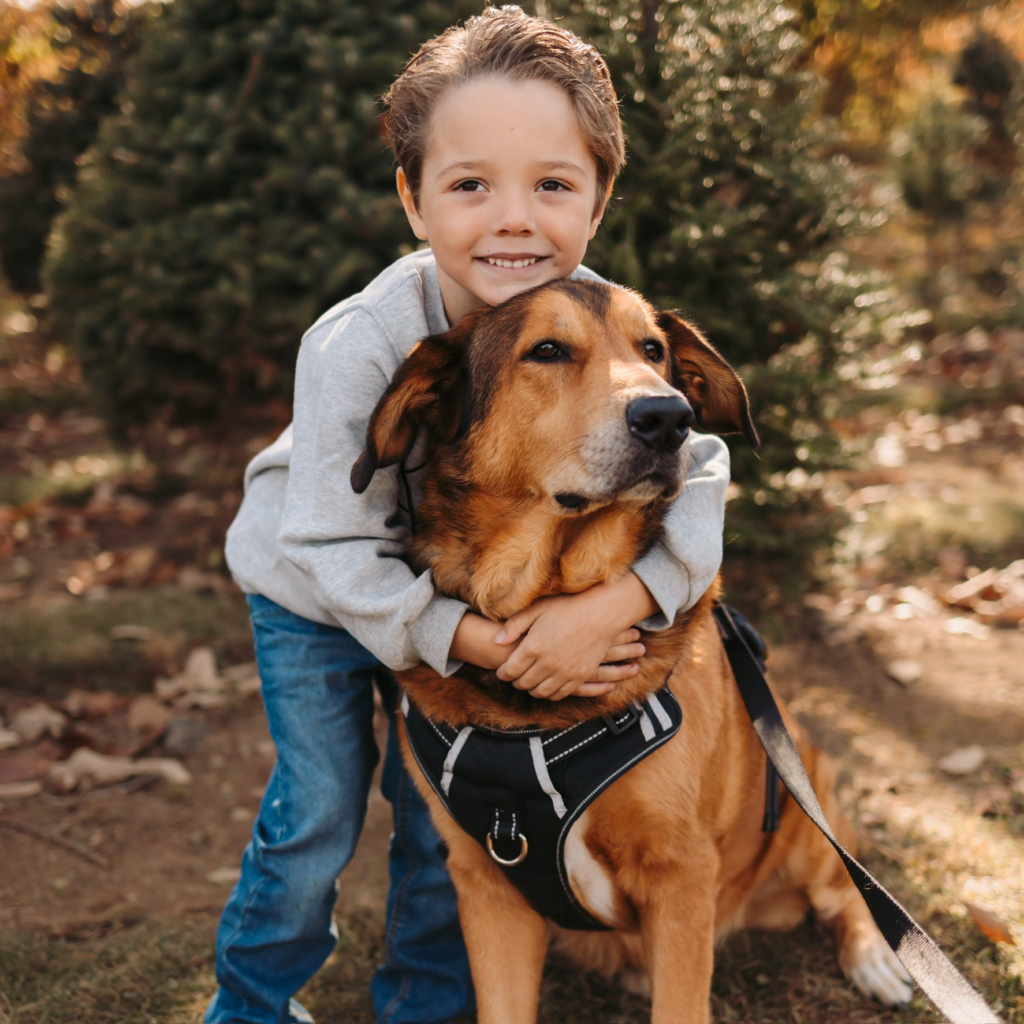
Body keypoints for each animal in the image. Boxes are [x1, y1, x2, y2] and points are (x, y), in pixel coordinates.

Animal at [352, 280, 913, 1024]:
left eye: (653, 350)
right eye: (547, 350)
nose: (669, 417)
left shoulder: (682, 875)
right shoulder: (484, 884)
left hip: (807, 809)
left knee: (849, 890)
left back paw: (876, 959)